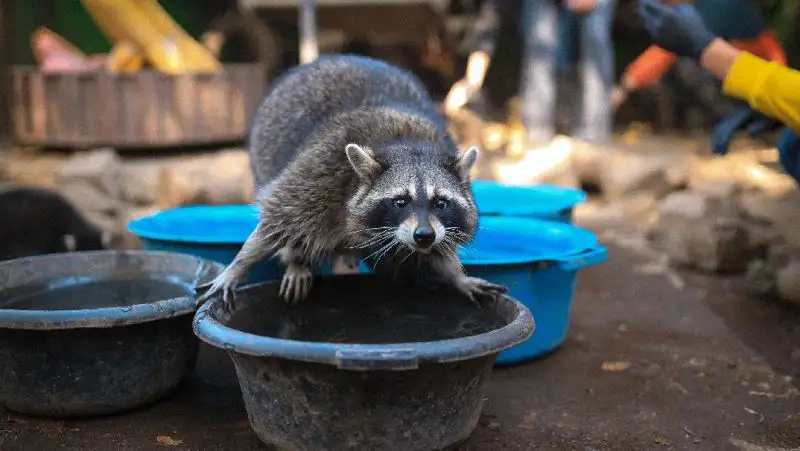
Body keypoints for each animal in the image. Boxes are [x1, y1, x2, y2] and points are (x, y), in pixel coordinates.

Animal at [195, 53, 506, 308]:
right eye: (400, 201)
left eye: (441, 202)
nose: (424, 235)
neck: (408, 143)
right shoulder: (321, 173)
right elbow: (276, 221)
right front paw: (239, 264)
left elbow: (435, 254)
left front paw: (455, 274)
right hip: (265, 155)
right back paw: (298, 261)